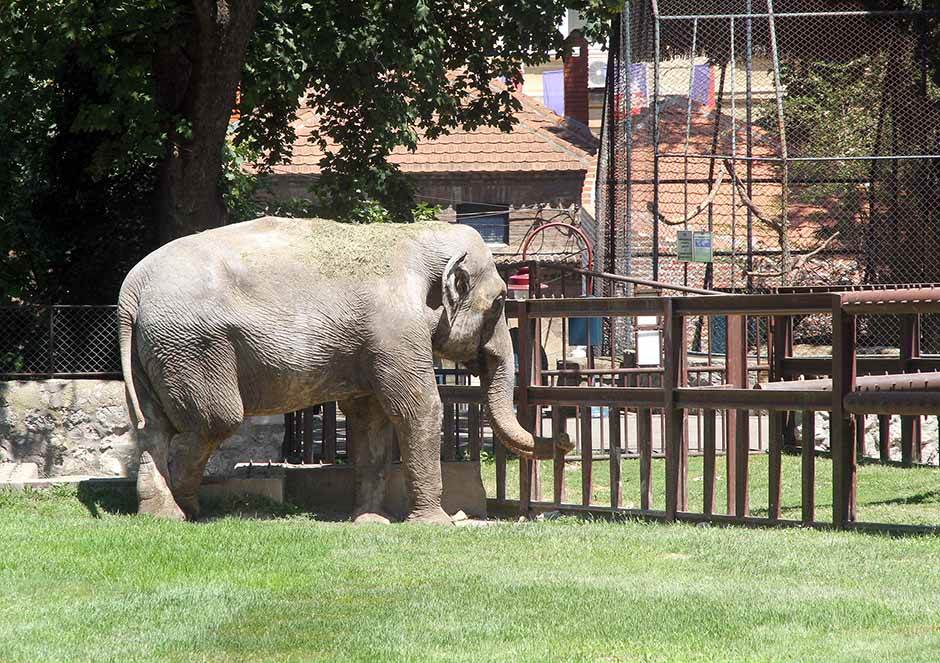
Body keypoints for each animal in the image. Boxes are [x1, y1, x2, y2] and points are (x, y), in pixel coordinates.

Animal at [117, 218, 572, 524]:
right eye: (500, 302)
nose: (565, 439)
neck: (415, 235)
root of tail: (131, 289)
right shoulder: (394, 330)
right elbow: (418, 409)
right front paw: (436, 524)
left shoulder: (371, 345)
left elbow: (369, 419)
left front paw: (370, 523)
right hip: (193, 346)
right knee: (215, 420)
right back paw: (185, 508)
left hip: (155, 349)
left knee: (153, 426)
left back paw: (161, 514)